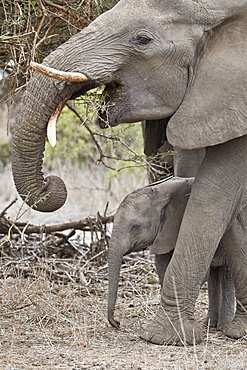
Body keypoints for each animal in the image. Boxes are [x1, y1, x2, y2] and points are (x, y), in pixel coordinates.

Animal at [107, 176, 234, 330]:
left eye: (135, 227)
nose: (117, 323)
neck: (161, 192)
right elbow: (162, 267)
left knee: (227, 274)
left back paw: (223, 327)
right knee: (215, 275)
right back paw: (209, 325)